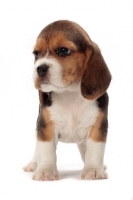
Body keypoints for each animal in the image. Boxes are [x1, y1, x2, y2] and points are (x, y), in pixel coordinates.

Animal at [23, 19, 111, 180]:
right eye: (36, 54)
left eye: (63, 50)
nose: (40, 68)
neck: (69, 93)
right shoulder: (45, 127)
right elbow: (45, 150)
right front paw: (45, 170)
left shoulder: (98, 126)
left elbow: (95, 150)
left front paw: (94, 169)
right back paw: (33, 164)